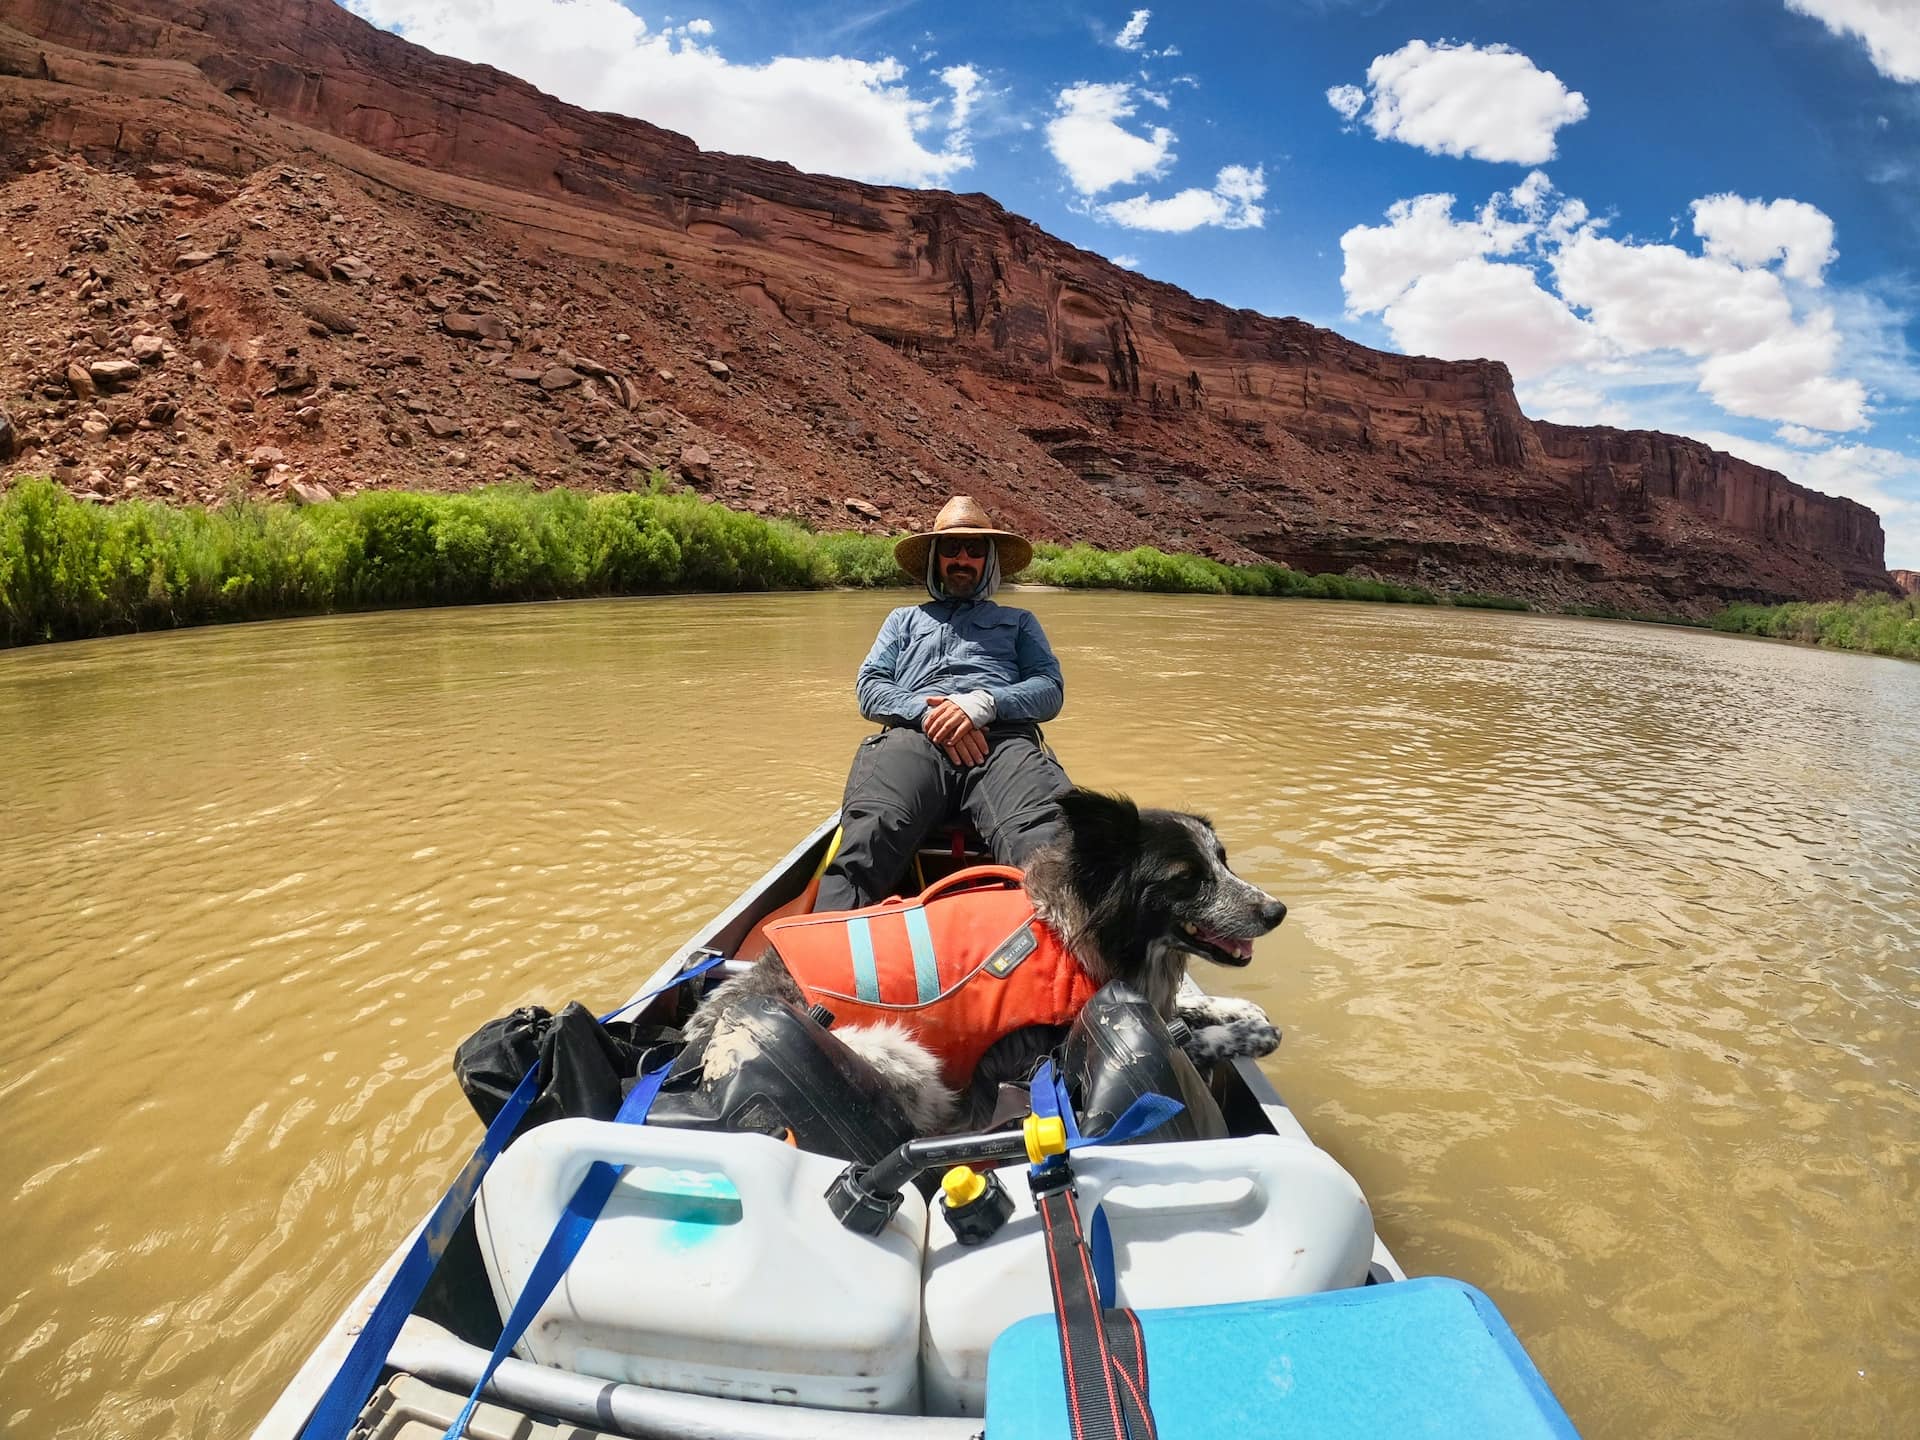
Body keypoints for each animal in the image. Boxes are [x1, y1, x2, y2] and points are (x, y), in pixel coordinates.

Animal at [683, 791, 1282, 1136]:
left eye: (1222, 862)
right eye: (1186, 879)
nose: (1276, 911)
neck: (1070, 928)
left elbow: (1184, 1006)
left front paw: (1240, 1009)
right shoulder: (1055, 1052)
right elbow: (1180, 1035)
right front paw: (1249, 1034)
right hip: (900, 1053)